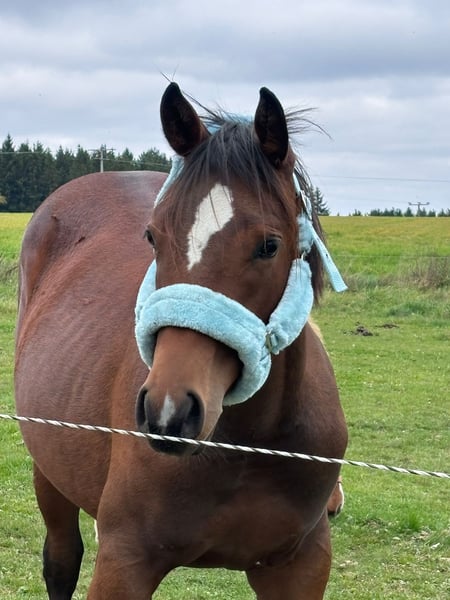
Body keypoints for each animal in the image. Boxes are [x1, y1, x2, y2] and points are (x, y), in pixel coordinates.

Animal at [15, 82, 347, 599]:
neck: (253, 446)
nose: (168, 412)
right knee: (61, 561)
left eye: (269, 246)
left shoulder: (301, 566)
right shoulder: (124, 563)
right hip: (49, 474)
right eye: (153, 237)